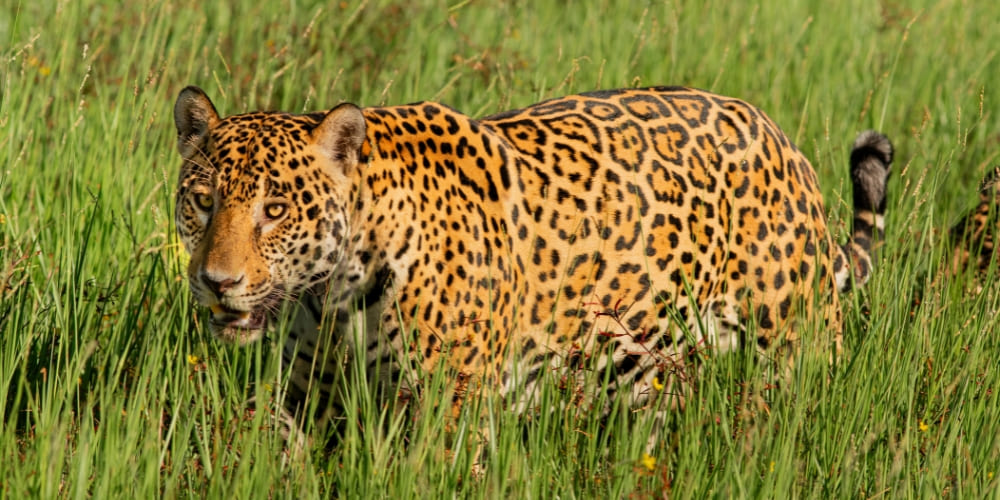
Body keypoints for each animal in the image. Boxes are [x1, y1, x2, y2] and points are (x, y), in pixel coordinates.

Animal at [172, 85, 892, 452]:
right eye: (203, 201)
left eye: (274, 210)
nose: (217, 283)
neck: (335, 292)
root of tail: (781, 138)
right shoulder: (307, 394)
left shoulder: (451, 405)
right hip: (641, 363)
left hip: (792, 346)